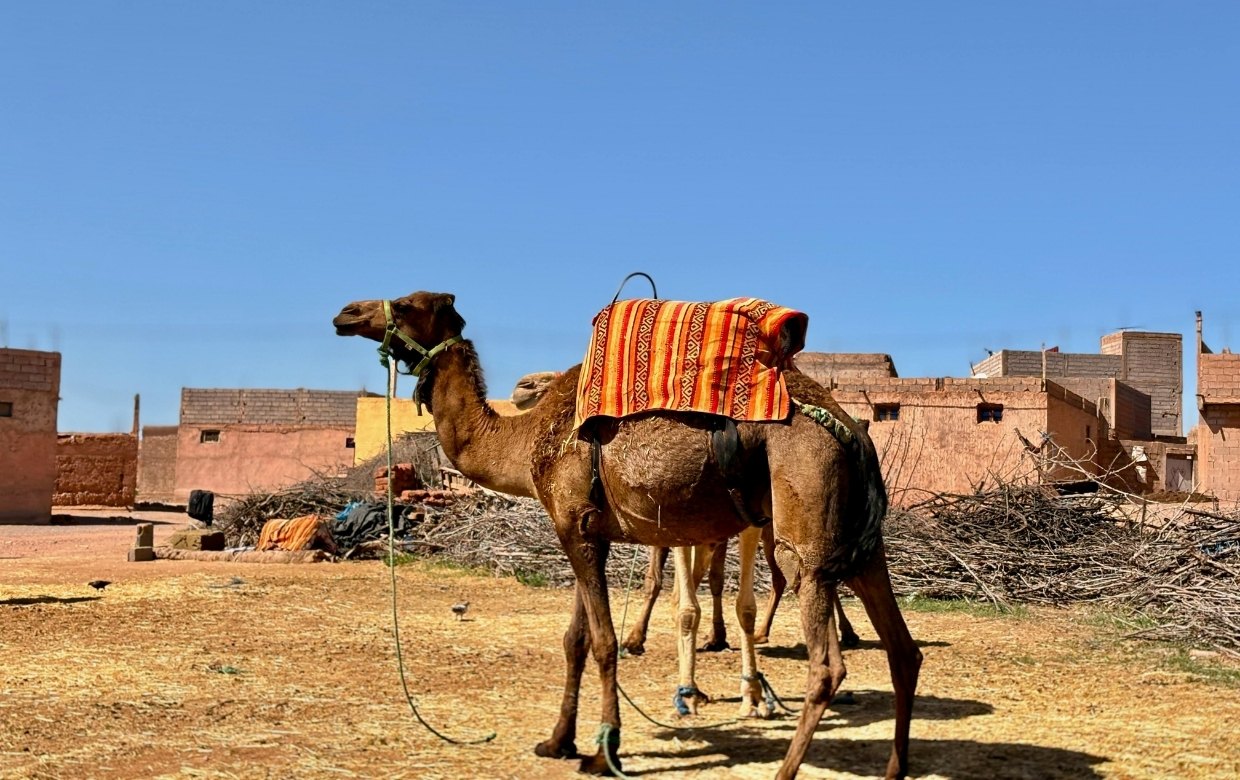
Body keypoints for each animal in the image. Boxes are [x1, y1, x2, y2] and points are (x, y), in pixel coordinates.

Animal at [334, 291, 922, 779]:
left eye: (406, 304)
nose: (346, 314)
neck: (524, 441)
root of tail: (854, 431)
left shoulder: (575, 525)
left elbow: (602, 642)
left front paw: (603, 752)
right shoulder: (584, 528)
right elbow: (573, 640)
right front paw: (557, 742)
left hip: (806, 523)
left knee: (826, 661)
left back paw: (782, 770)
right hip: (864, 544)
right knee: (904, 651)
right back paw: (894, 769)